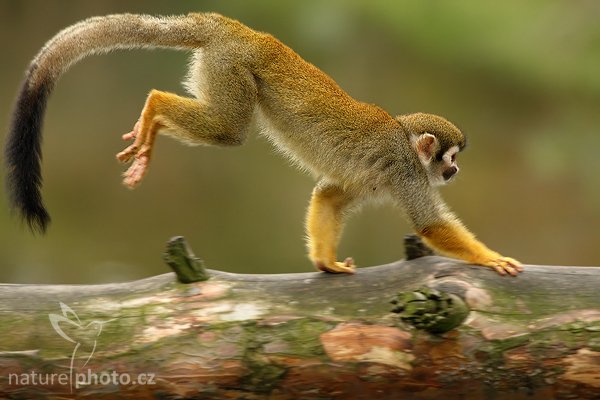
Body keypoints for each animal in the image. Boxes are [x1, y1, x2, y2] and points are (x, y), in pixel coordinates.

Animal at [4, 11, 524, 276]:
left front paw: (326, 262)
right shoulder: (403, 169)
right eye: (449, 159)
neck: (404, 139)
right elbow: (431, 225)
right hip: (231, 65)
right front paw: (490, 257)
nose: (454, 171)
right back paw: (154, 106)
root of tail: (237, 28)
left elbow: (329, 195)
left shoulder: (376, 177)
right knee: (228, 131)